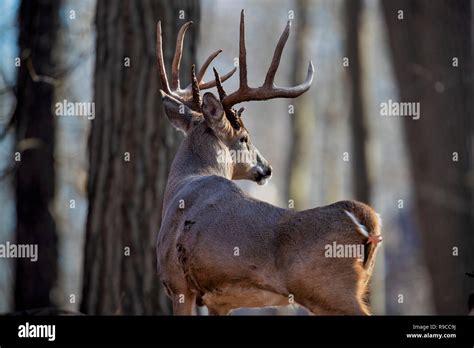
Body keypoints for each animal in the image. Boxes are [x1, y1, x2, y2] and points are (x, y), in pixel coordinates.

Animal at [156, 10, 382, 316]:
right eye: (245, 138)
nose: (267, 167)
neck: (183, 184)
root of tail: (364, 218)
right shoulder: (218, 301)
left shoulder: (178, 284)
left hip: (331, 291)